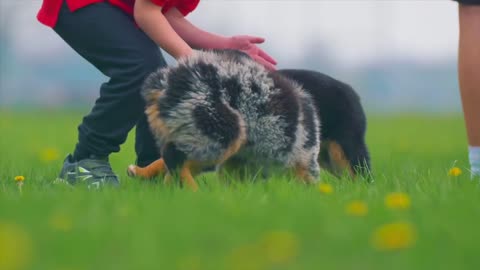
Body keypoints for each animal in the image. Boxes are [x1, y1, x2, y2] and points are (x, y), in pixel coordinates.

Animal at [128, 50, 322, 190]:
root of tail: (165, 83)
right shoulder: (304, 161)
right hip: (222, 133)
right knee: (173, 157)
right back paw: (195, 194)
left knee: (171, 160)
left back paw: (141, 173)